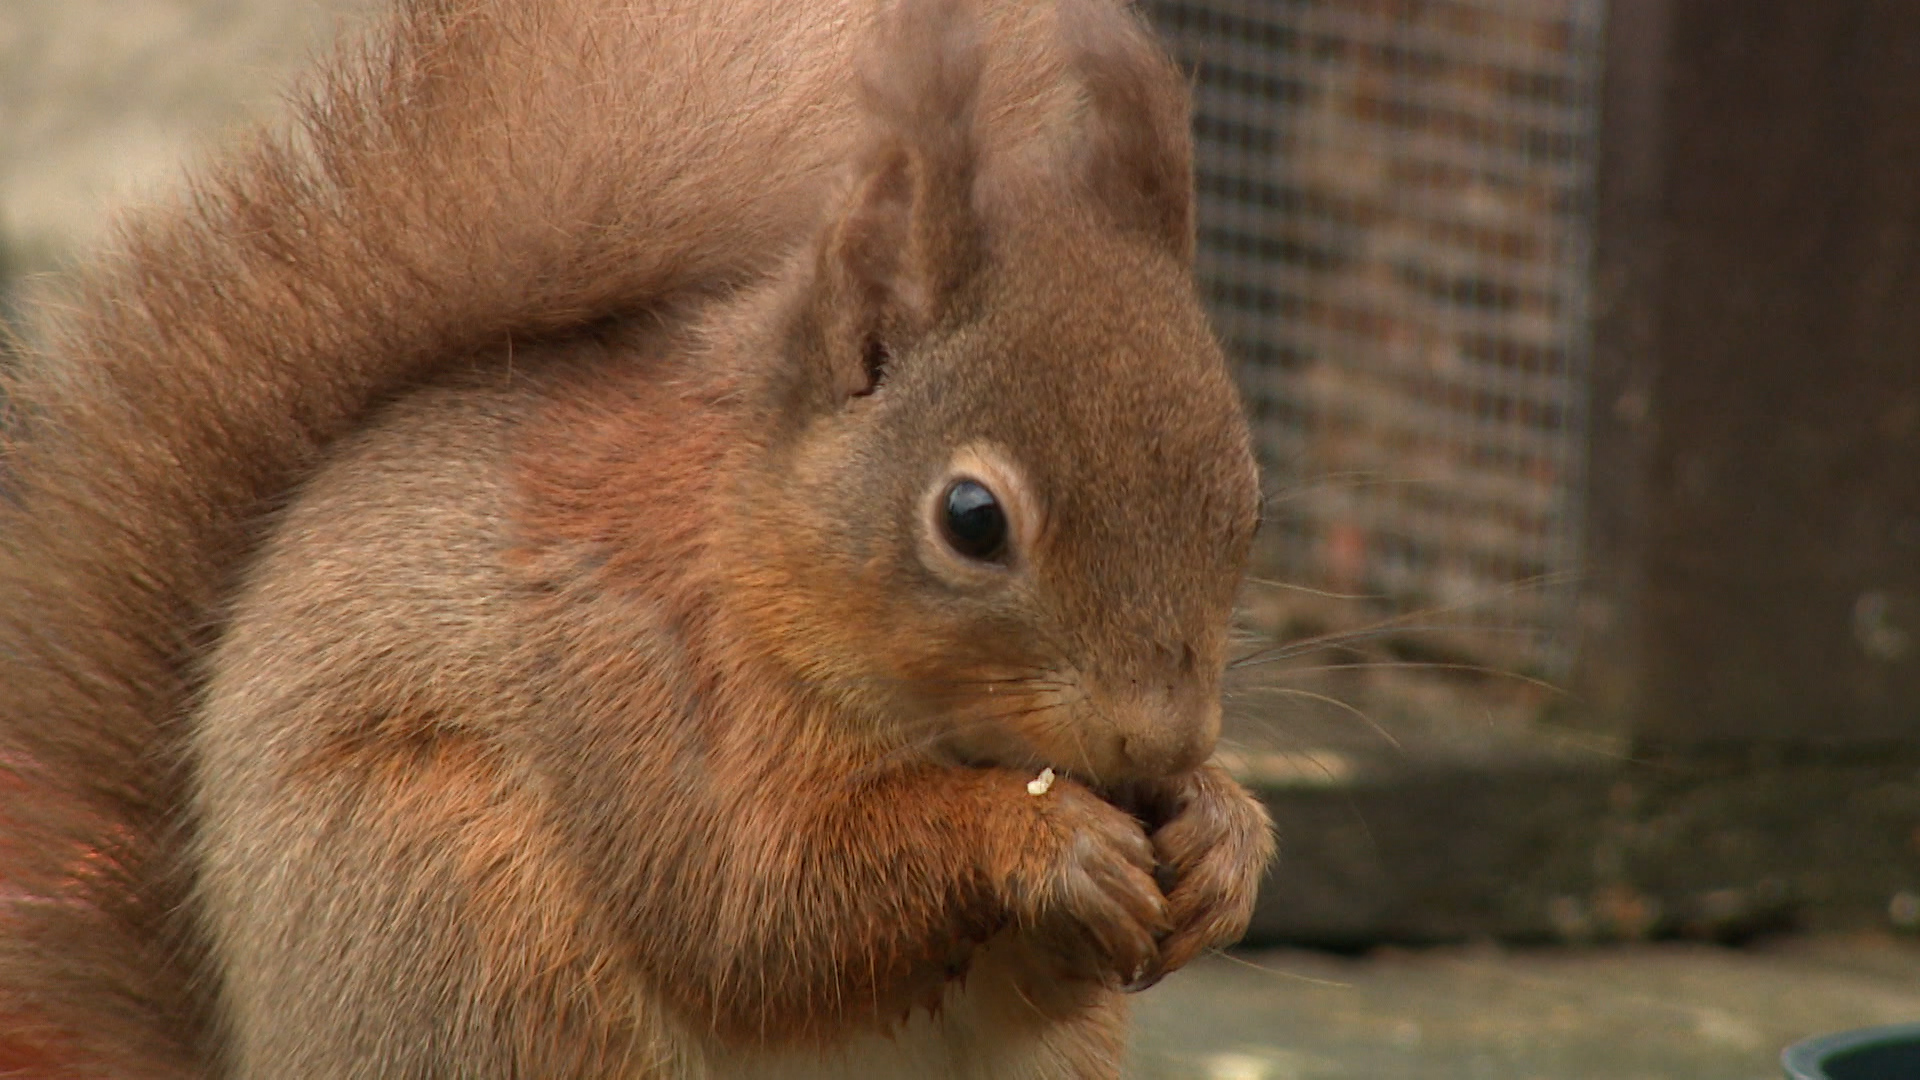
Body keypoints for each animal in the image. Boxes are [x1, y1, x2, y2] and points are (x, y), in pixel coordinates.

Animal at [3, 0, 1274, 1068]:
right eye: (973, 520)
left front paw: (1224, 839)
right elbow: (751, 904)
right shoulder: (632, 662)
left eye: (1251, 501)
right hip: (467, 932)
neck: (756, 548)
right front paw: (1047, 840)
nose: (1163, 741)